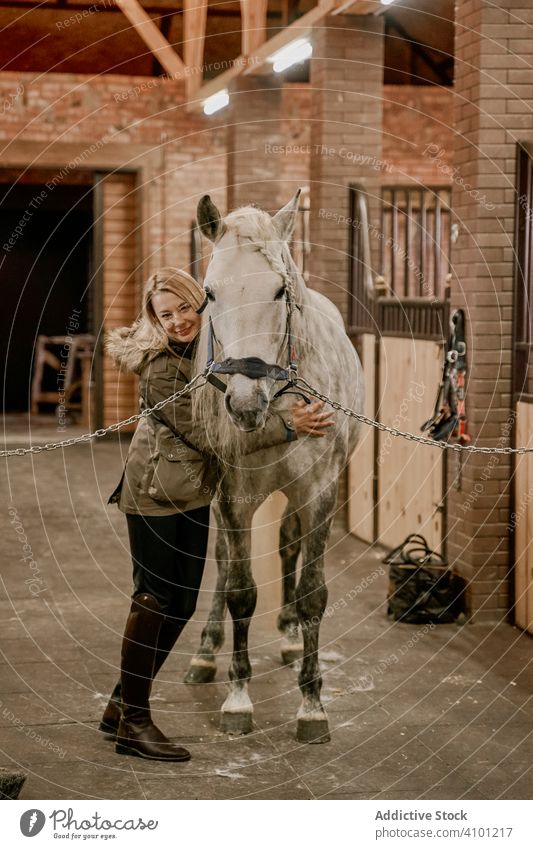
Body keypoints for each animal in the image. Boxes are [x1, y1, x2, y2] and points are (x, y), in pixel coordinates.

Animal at [185, 192, 364, 744]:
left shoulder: (320, 492)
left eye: (280, 289)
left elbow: (313, 594)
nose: (245, 404)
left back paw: (288, 638)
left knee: (288, 543)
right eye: (210, 293)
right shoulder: (233, 496)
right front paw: (238, 698)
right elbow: (241, 589)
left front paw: (312, 706)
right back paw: (205, 652)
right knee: (225, 560)